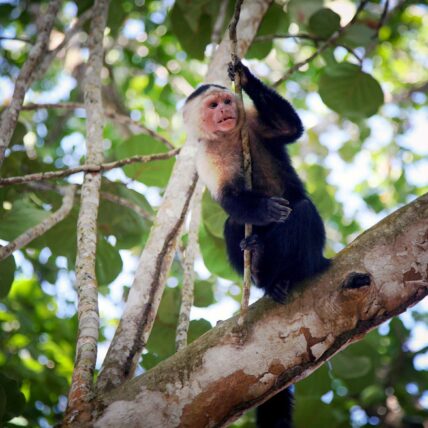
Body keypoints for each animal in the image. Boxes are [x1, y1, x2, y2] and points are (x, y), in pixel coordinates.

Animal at [182, 61, 330, 428]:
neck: (229, 137)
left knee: (302, 210)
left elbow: (289, 127)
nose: (224, 110)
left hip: (311, 255)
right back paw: (262, 269)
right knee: (233, 224)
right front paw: (263, 210)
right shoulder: (206, 156)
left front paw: (245, 75)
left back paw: (285, 276)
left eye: (226, 101)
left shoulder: (249, 122)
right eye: (212, 106)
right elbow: (230, 200)